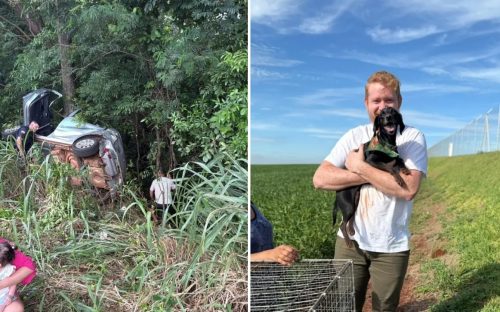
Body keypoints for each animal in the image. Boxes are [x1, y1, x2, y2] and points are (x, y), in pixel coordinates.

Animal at [332, 108, 410, 249]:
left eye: (393, 112)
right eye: (382, 113)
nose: (388, 117)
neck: (387, 143)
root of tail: (337, 192)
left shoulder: (395, 156)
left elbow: (400, 160)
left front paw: (405, 169)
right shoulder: (371, 161)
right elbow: (388, 167)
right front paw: (399, 179)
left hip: (355, 201)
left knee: (350, 220)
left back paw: (352, 230)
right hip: (348, 205)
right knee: (342, 224)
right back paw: (348, 241)